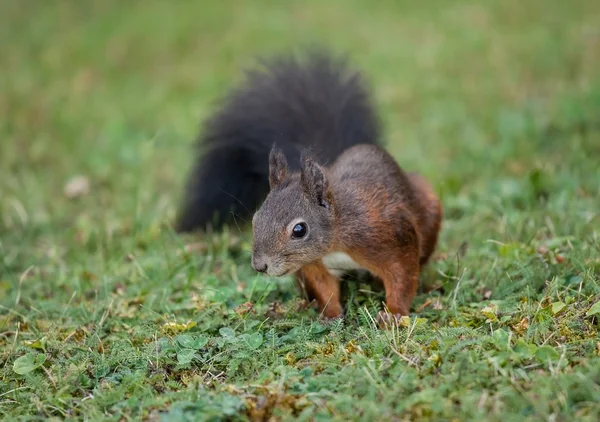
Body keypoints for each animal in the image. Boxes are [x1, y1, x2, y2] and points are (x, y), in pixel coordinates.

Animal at [176, 49, 442, 320]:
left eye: (299, 230)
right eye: (255, 219)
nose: (260, 266)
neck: (336, 234)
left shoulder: (390, 237)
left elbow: (402, 277)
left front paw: (394, 314)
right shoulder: (313, 265)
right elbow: (325, 288)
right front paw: (331, 315)